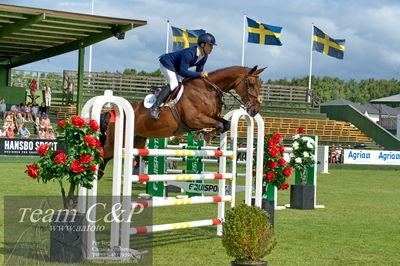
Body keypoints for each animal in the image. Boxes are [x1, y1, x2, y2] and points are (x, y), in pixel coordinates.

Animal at [97, 66, 266, 179]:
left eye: (260, 85)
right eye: (250, 84)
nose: (254, 110)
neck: (208, 89)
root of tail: (112, 112)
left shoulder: (212, 116)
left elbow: (225, 124)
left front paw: (205, 135)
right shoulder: (195, 119)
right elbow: (218, 125)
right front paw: (204, 136)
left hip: (137, 141)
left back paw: (99, 174)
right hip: (115, 143)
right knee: (103, 154)